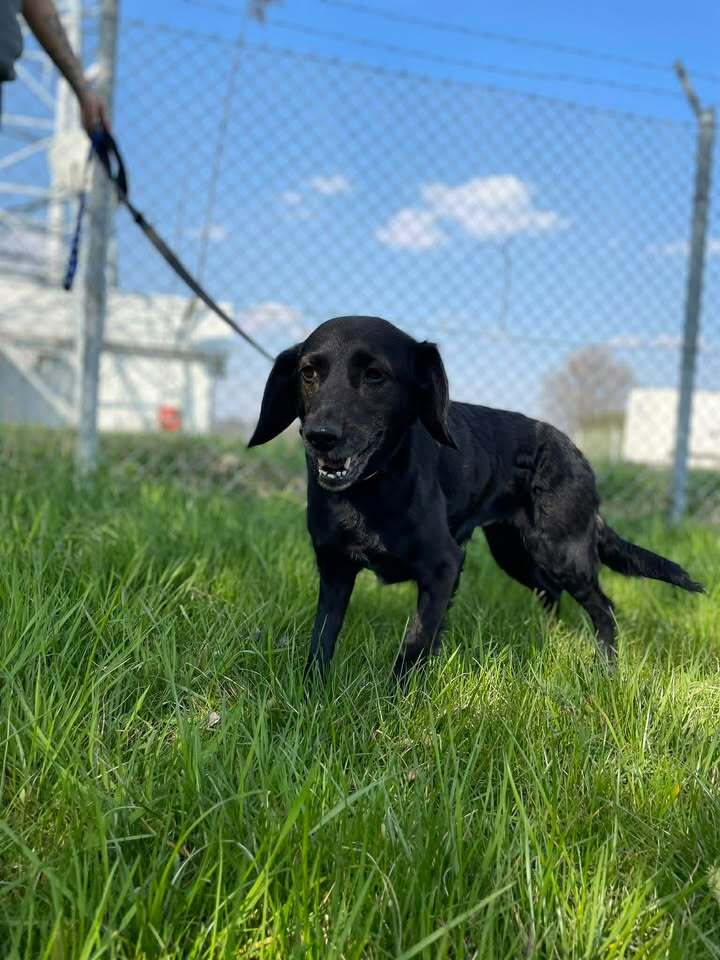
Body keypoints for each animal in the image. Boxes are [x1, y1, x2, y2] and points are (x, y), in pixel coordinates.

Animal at [249, 316, 704, 683]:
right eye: (308, 373)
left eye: (375, 375)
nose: (320, 436)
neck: (370, 491)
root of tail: (577, 453)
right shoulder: (335, 570)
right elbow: (321, 641)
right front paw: (311, 697)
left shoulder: (444, 565)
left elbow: (413, 646)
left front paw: (392, 710)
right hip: (514, 551)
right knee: (550, 593)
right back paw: (548, 642)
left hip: (561, 550)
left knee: (604, 607)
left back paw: (606, 671)